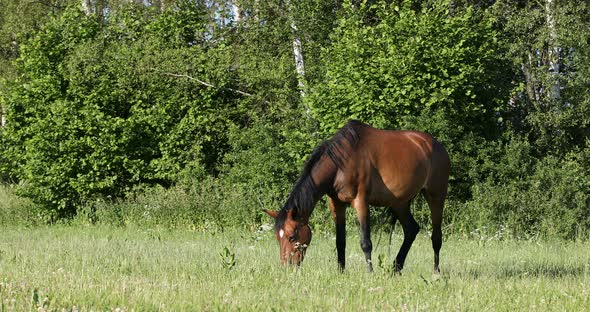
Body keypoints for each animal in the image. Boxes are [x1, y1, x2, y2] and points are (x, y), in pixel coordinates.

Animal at [266, 120, 450, 272]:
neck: (340, 164)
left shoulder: (361, 202)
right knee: (411, 230)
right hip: (400, 203)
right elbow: (340, 241)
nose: (286, 267)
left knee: (436, 237)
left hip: (436, 196)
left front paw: (370, 272)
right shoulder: (337, 204)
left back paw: (436, 272)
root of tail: (436, 145)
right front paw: (341, 272)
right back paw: (396, 268)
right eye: (277, 238)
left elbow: (365, 242)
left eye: (291, 237)